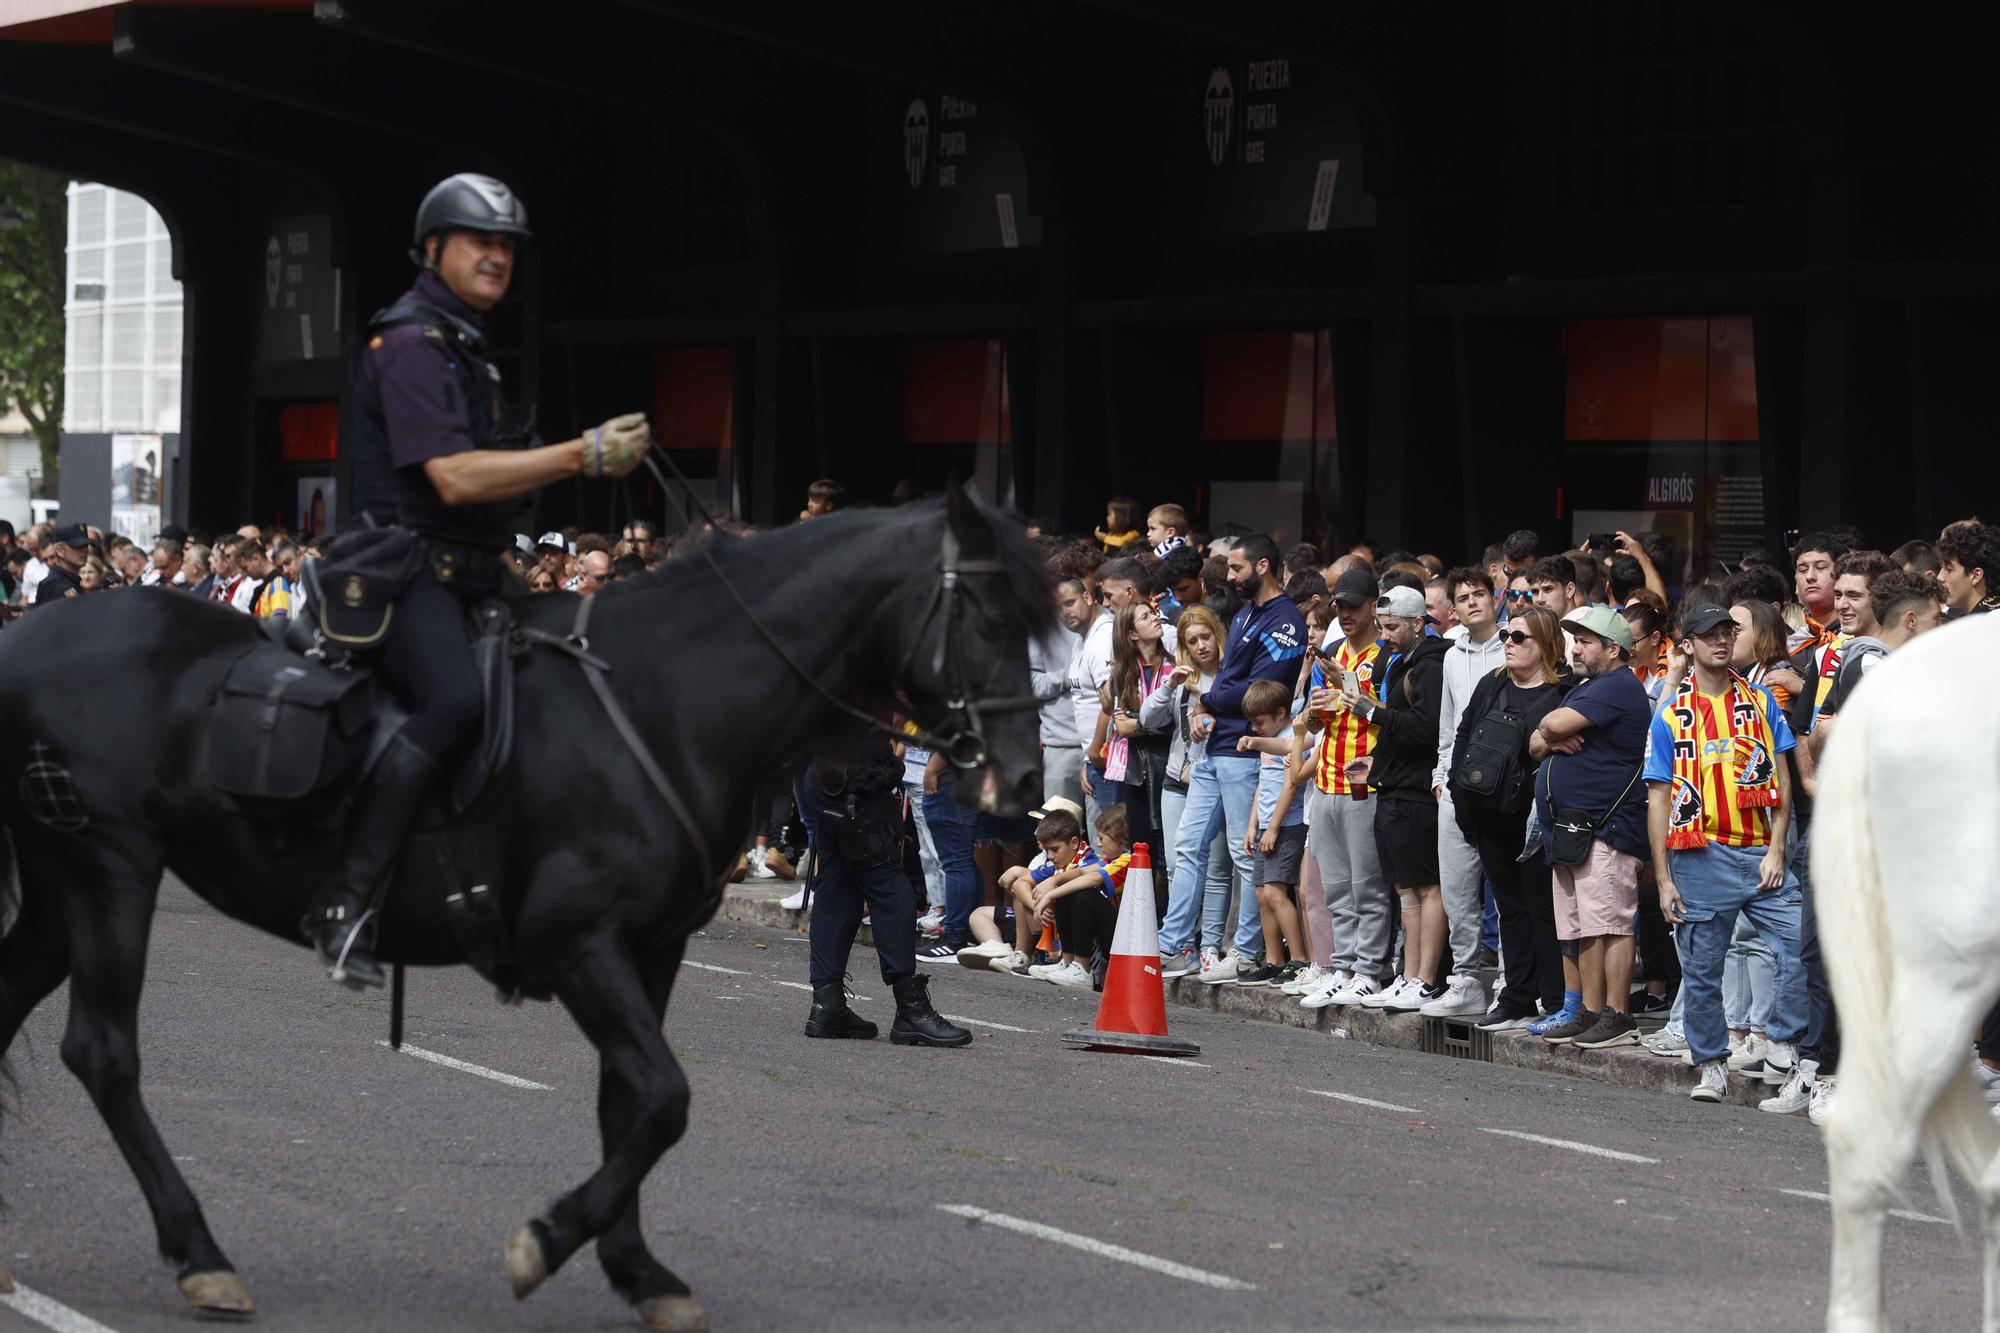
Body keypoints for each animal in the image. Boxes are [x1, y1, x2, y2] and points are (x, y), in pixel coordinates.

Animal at [0, 488, 1048, 1328]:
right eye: (987, 615)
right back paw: (202, 1253)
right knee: (104, 1050)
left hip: (63, 888)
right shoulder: (577, 943)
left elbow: (629, 1103)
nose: (1025, 779)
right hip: (111, 868)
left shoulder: (649, 949)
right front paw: (547, 1239)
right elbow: (662, 1098)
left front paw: (638, 1268)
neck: (665, 700)